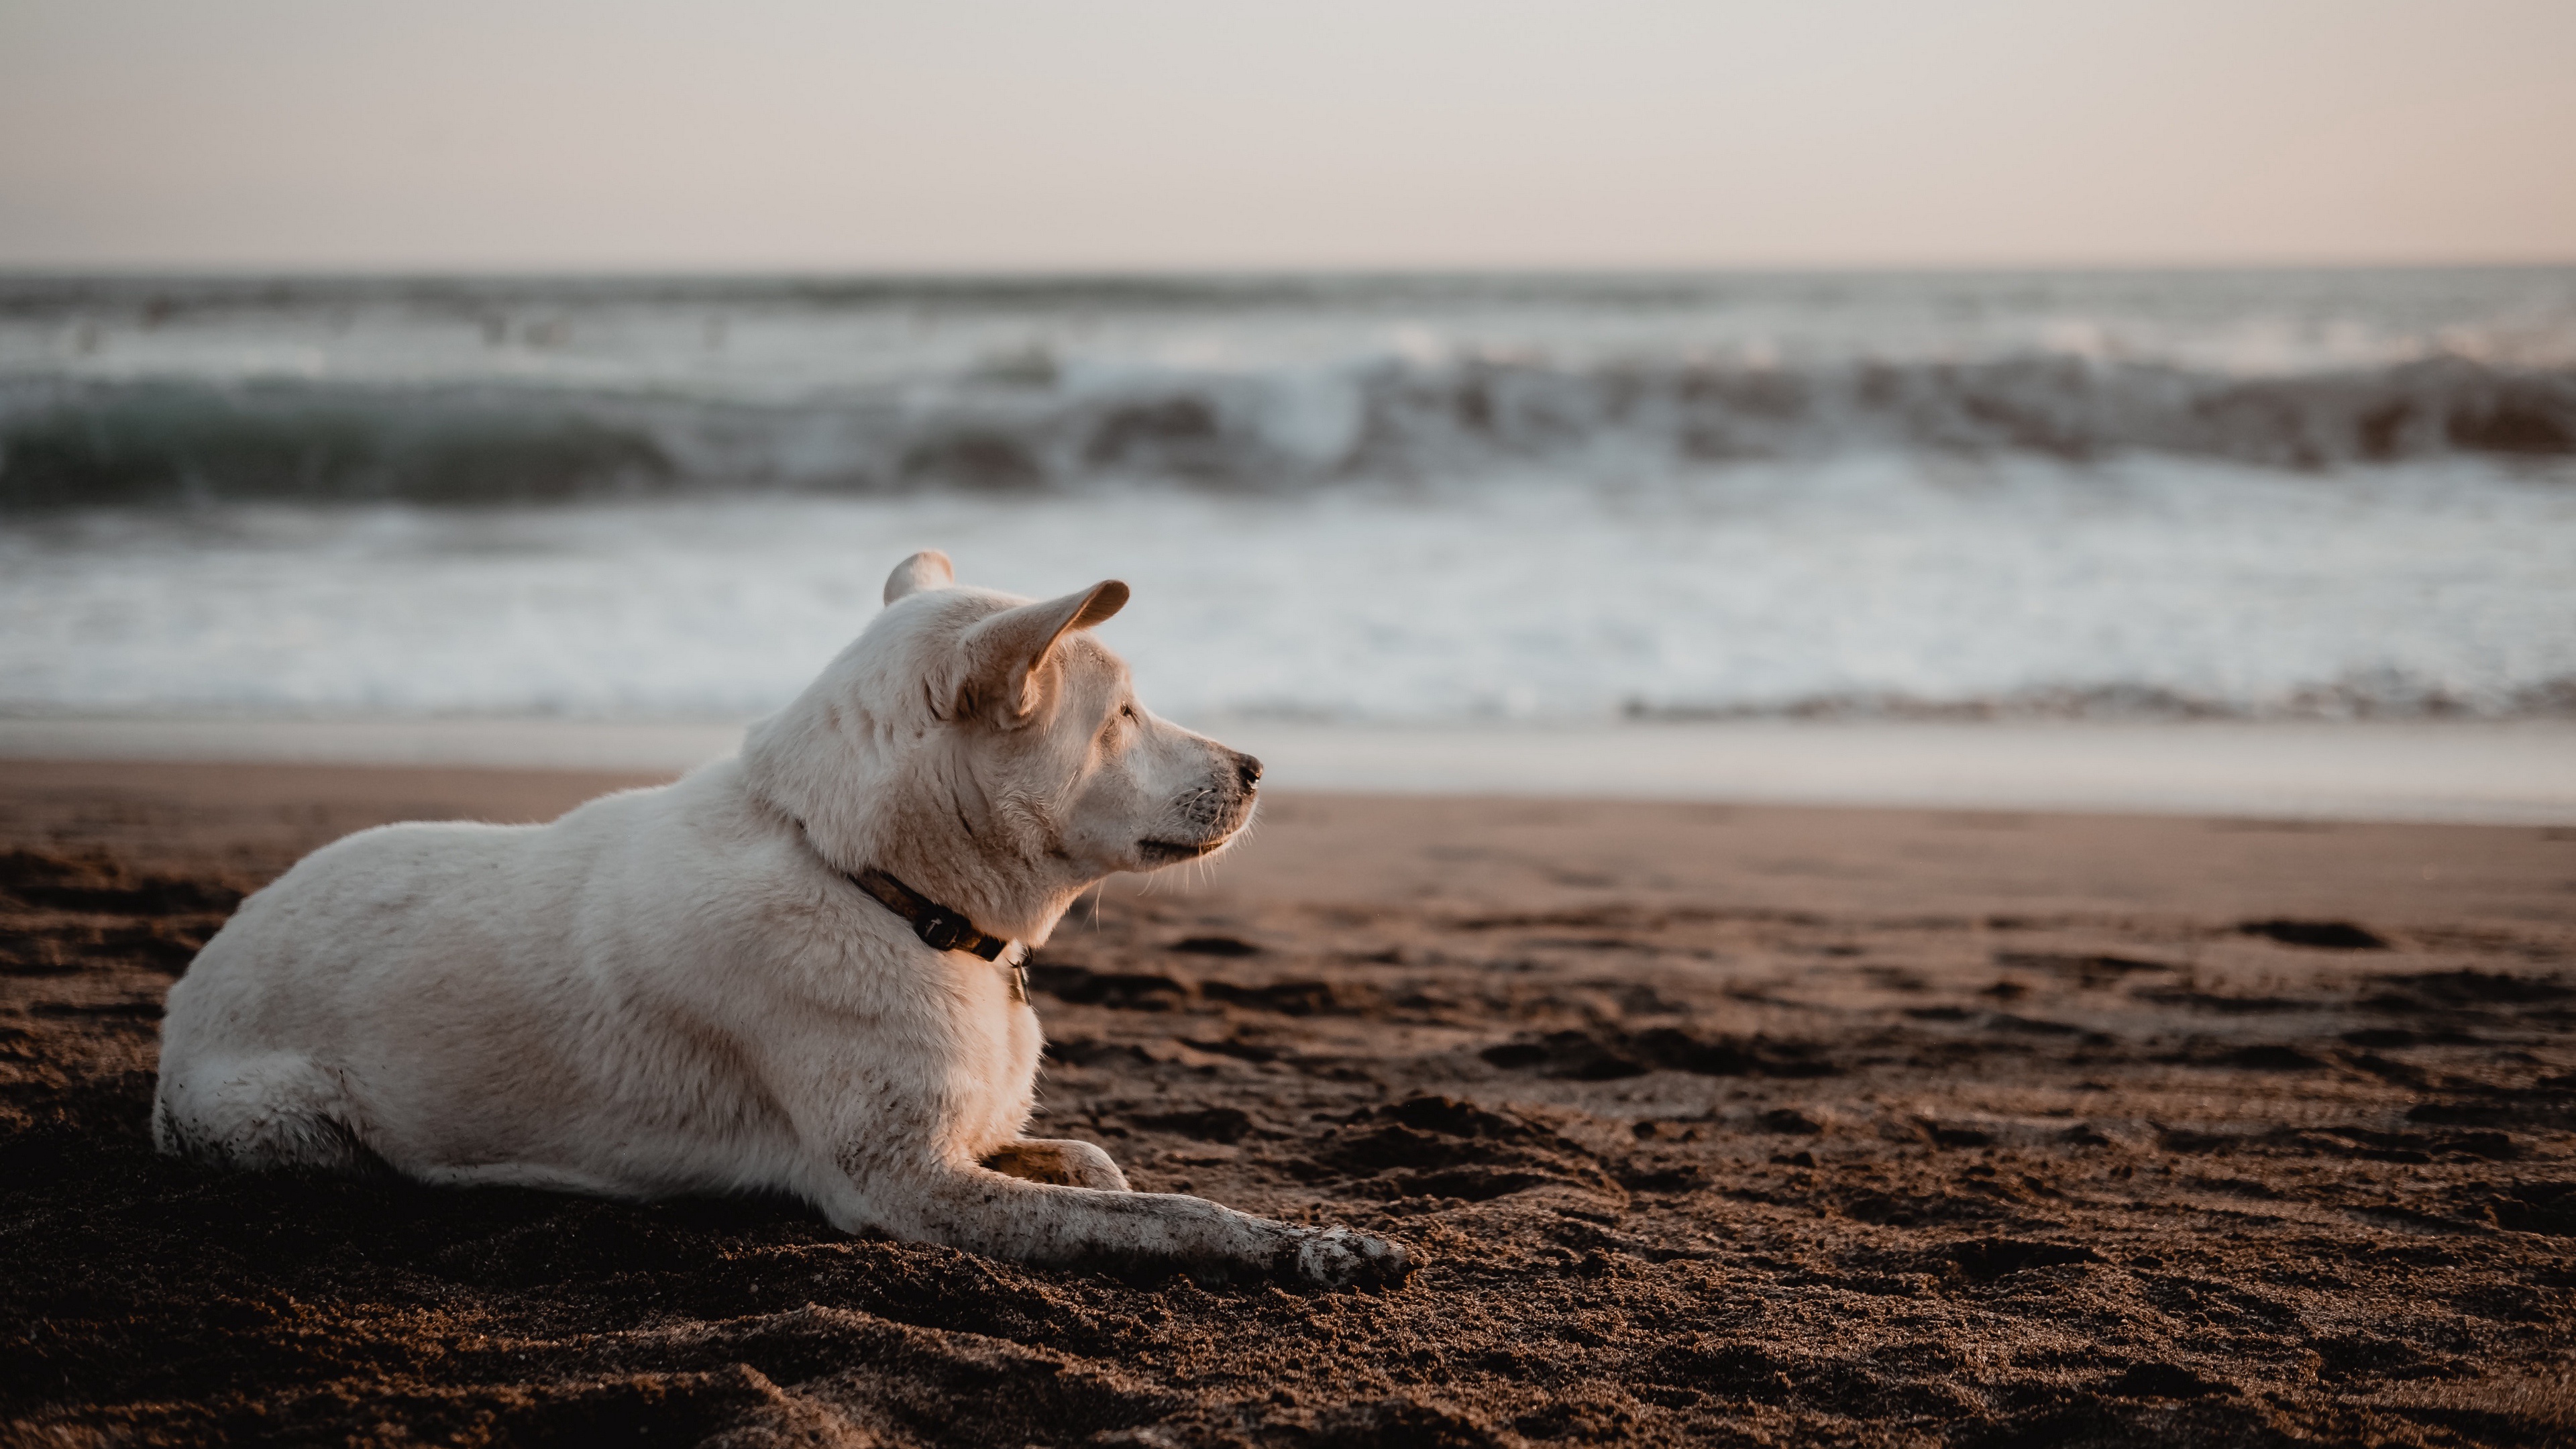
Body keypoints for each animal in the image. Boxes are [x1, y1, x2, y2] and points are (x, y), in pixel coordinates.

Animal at [148, 551, 1411, 1284]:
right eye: (1127, 715)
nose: (1256, 767)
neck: (886, 892)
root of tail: (186, 996)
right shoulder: (905, 1185)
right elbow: (1175, 1216)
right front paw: (1314, 1246)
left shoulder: (953, 1141)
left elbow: (1099, 1169)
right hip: (287, 1120)